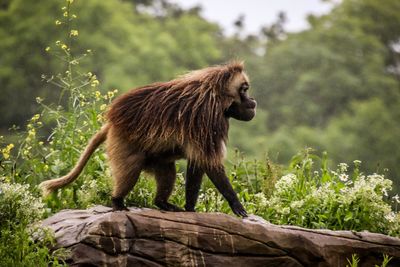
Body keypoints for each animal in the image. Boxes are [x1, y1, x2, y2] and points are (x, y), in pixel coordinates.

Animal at [39, 61, 256, 219]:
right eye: (244, 89)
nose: (253, 102)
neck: (217, 96)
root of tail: (112, 123)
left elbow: (198, 163)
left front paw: (189, 208)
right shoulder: (208, 118)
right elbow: (210, 163)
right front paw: (236, 205)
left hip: (155, 159)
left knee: (167, 172)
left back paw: (163, 204)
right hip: (123, 143)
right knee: (130, 169)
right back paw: (117, 203)